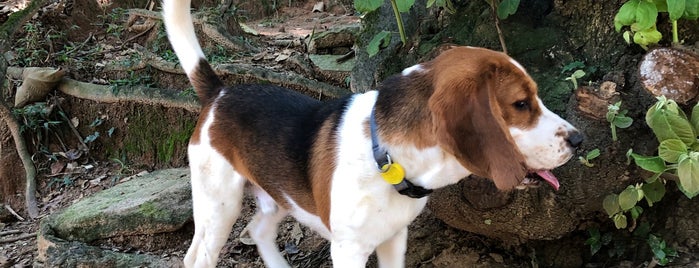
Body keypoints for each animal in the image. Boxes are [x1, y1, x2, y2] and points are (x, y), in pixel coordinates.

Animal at [163, 1, 580, 266]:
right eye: (521, 104)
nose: (580, 140)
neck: (387, 157)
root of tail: (220, 92)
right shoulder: (349, 251)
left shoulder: (394, 240)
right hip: (219, 206)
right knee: (197, 256)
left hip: (277, 196)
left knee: (259, 229)